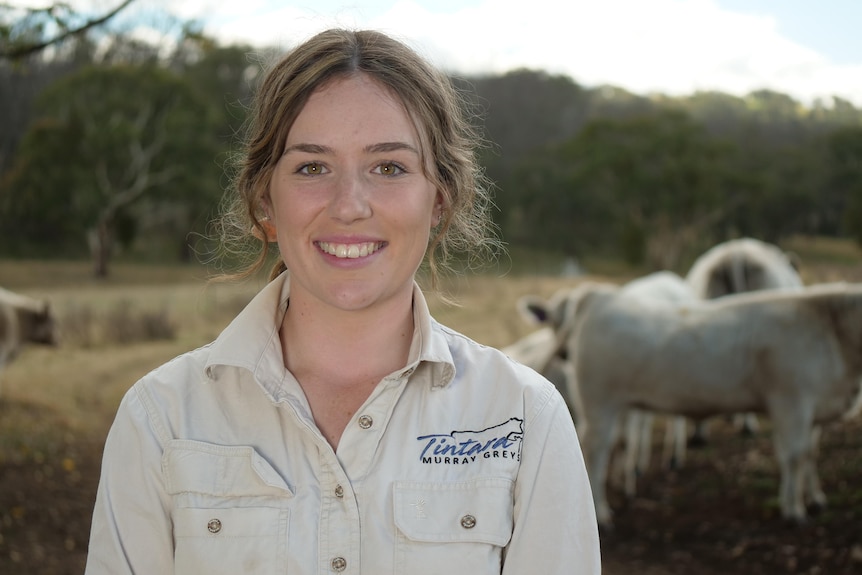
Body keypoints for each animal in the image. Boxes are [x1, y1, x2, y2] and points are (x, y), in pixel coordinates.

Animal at [528, 282, 862, 528]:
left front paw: (815, 498)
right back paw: (601, 514)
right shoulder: (792, 403)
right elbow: (794, 457)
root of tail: (599, 295)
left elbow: (809, 454)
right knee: (595, 453)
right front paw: (794, 510)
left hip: (617, 405)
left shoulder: (810, 409)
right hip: (600, 404)